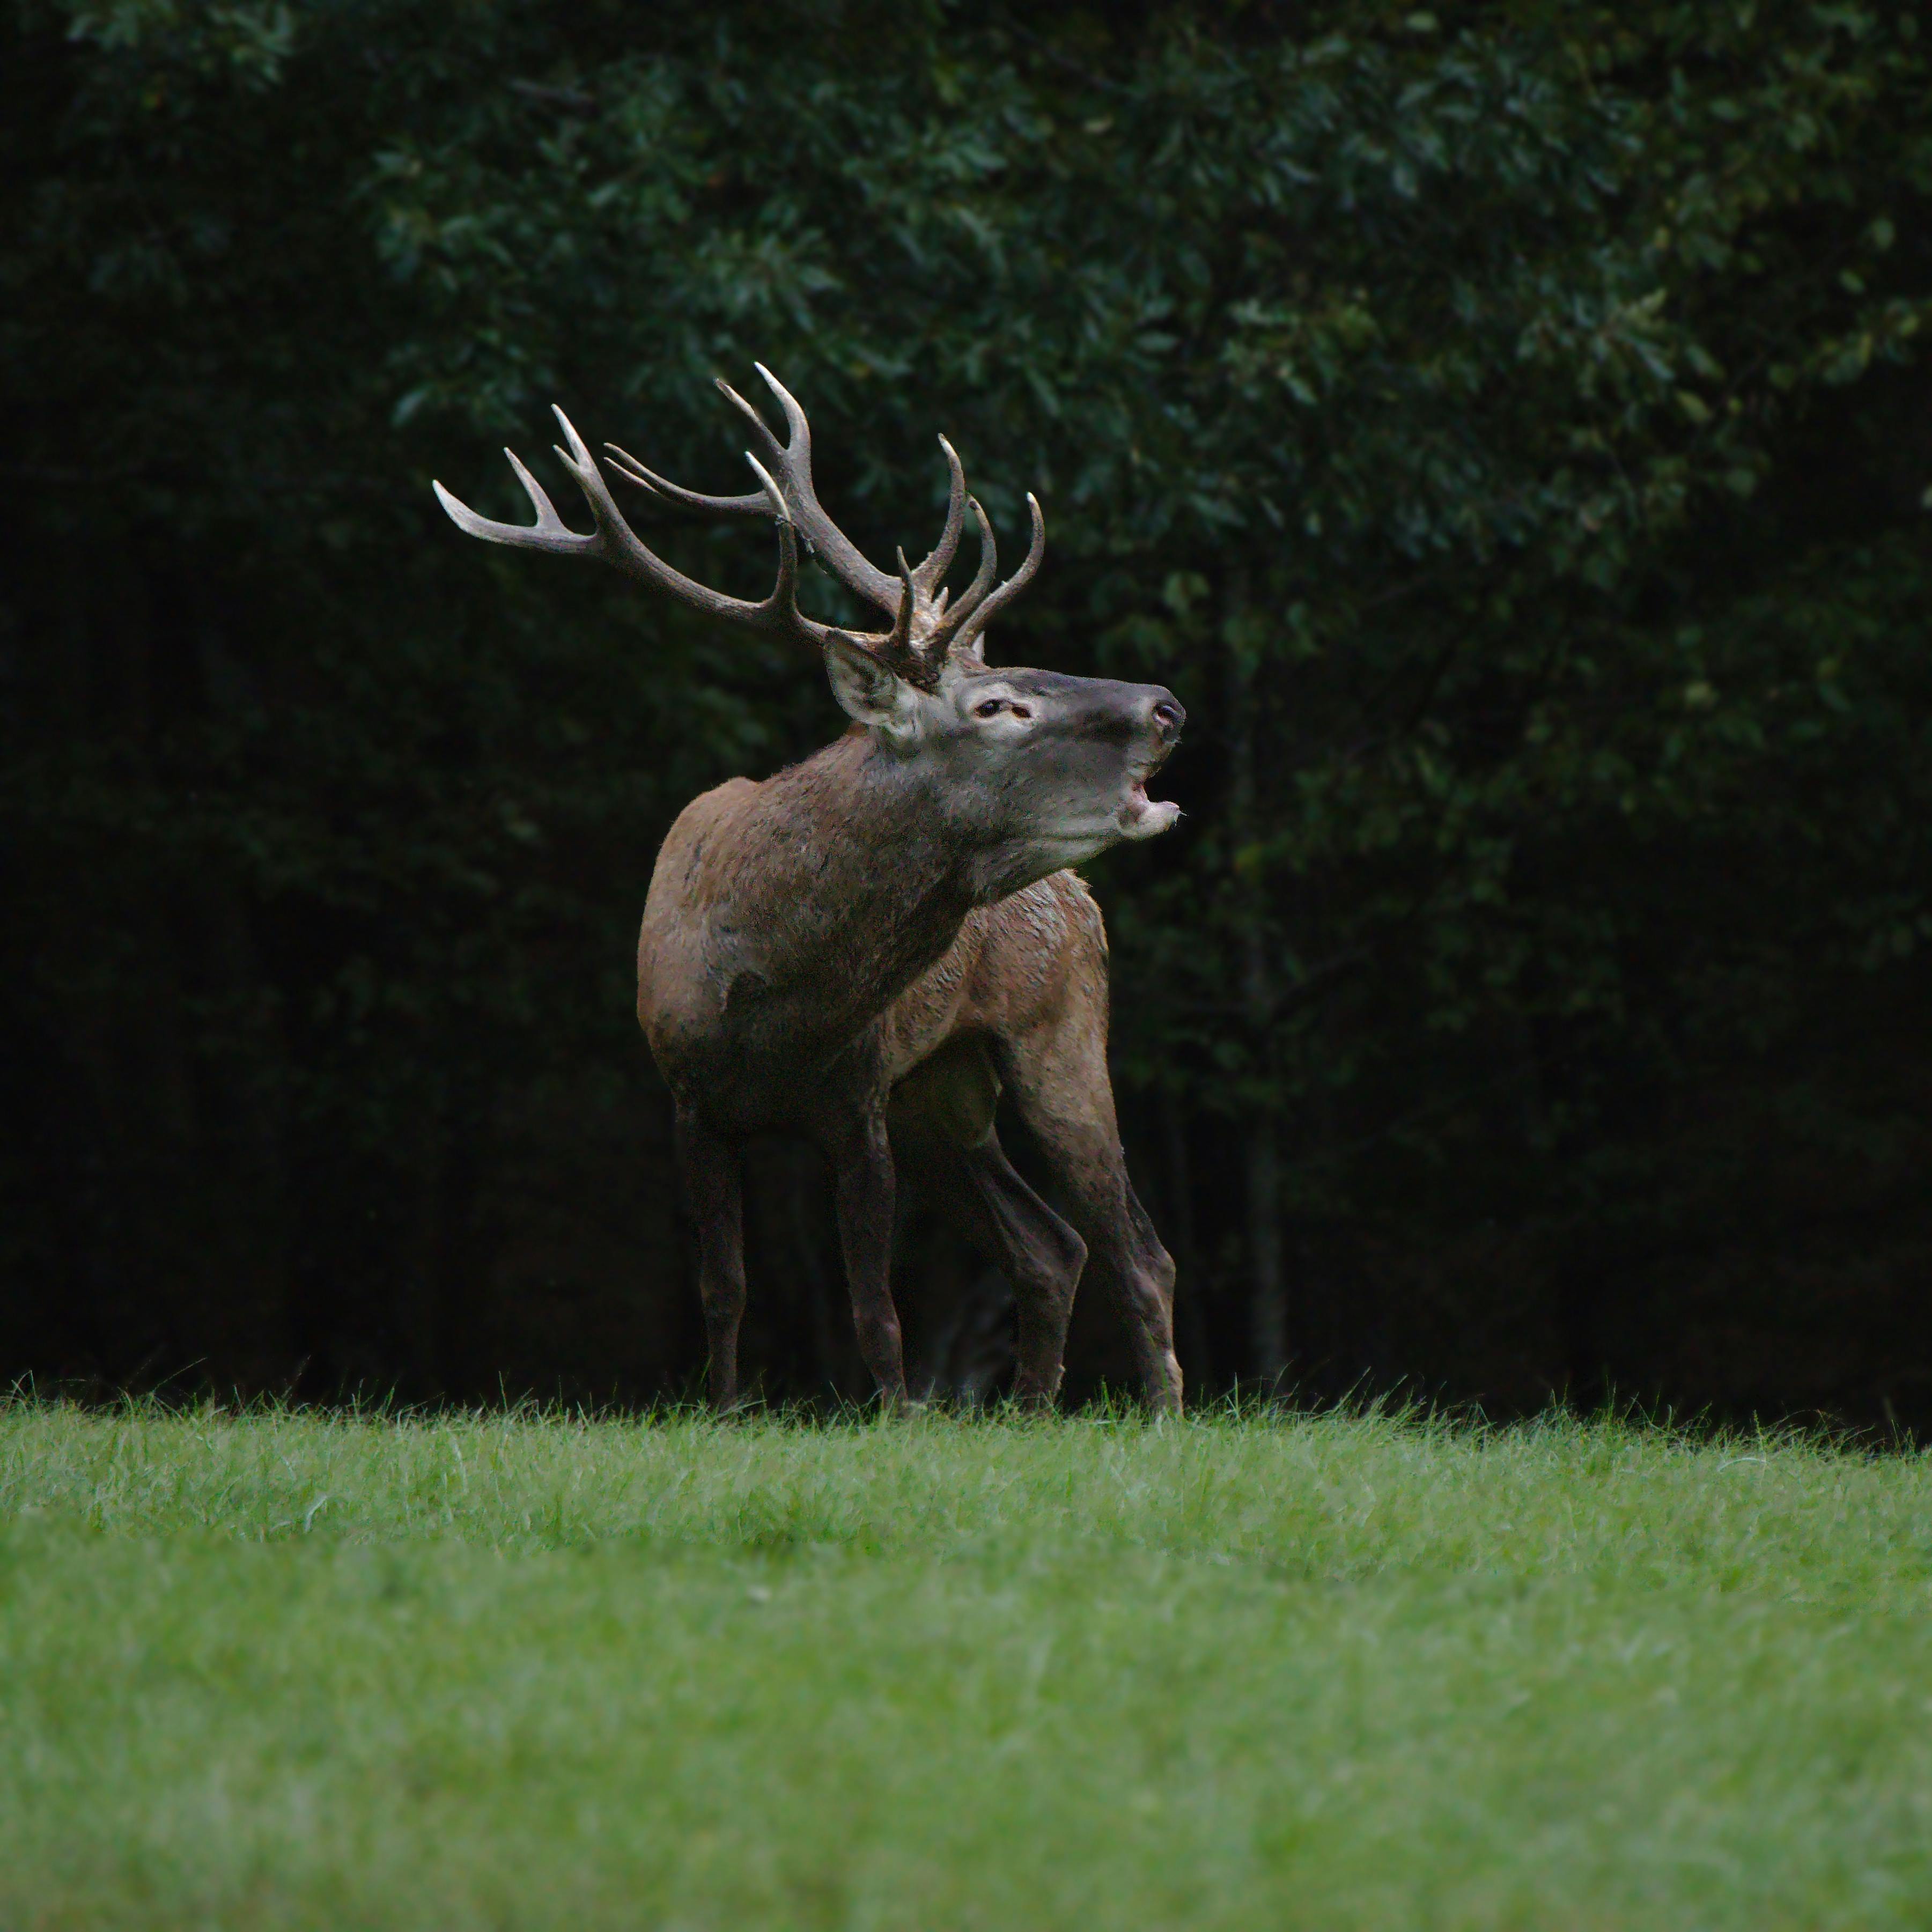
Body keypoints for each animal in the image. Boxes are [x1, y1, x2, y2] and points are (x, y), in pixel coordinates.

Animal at [437, 368, 1182, 1414]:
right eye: (996, 703)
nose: (1166, 706)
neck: (774, 998)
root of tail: (1079, 896)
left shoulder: (860, 1094)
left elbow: (874, 1305)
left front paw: (898, 1414)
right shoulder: (689, 1096)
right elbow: (723, 1286)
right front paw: (723, 1410)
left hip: (1057, 1034)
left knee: (1139, 1252)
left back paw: (1158, 1415)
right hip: (941, 1100)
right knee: (1052, 1245)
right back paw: (1033, 1410)